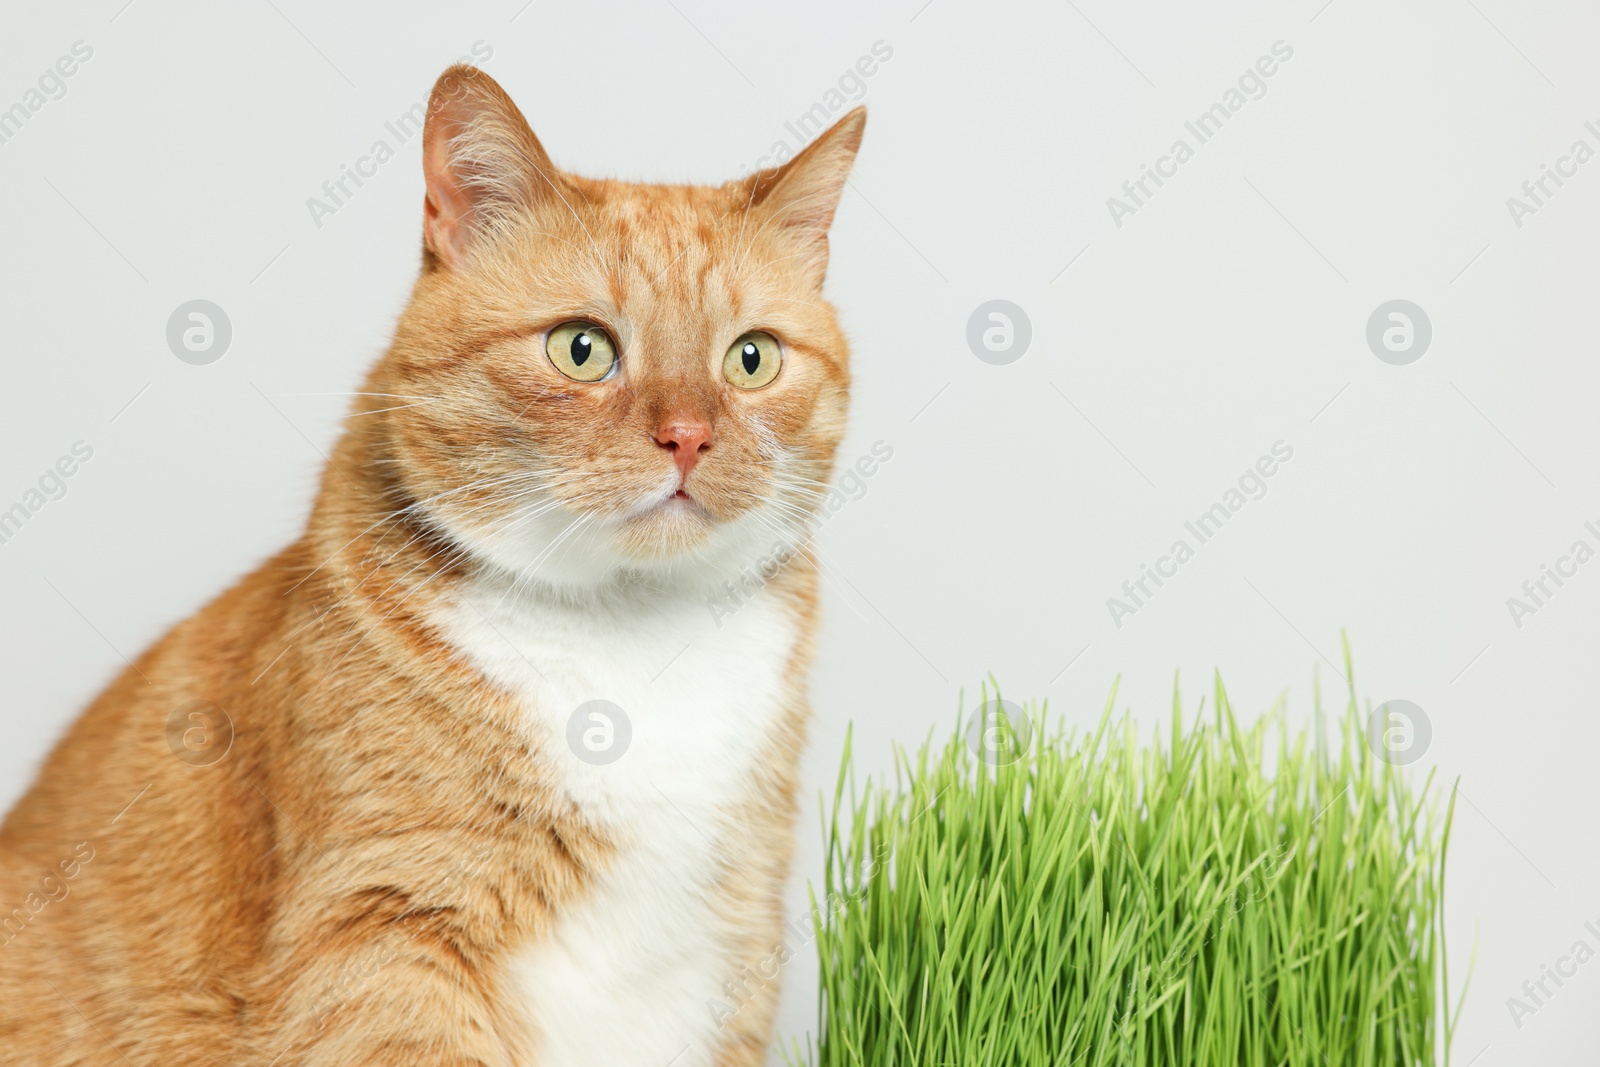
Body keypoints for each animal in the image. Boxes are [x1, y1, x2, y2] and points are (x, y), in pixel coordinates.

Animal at [0, 68, 870, 1067]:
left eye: (752, 358)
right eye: (582, 348)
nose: (688, 435)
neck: (632, 640)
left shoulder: (733, 943)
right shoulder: (384, 931)